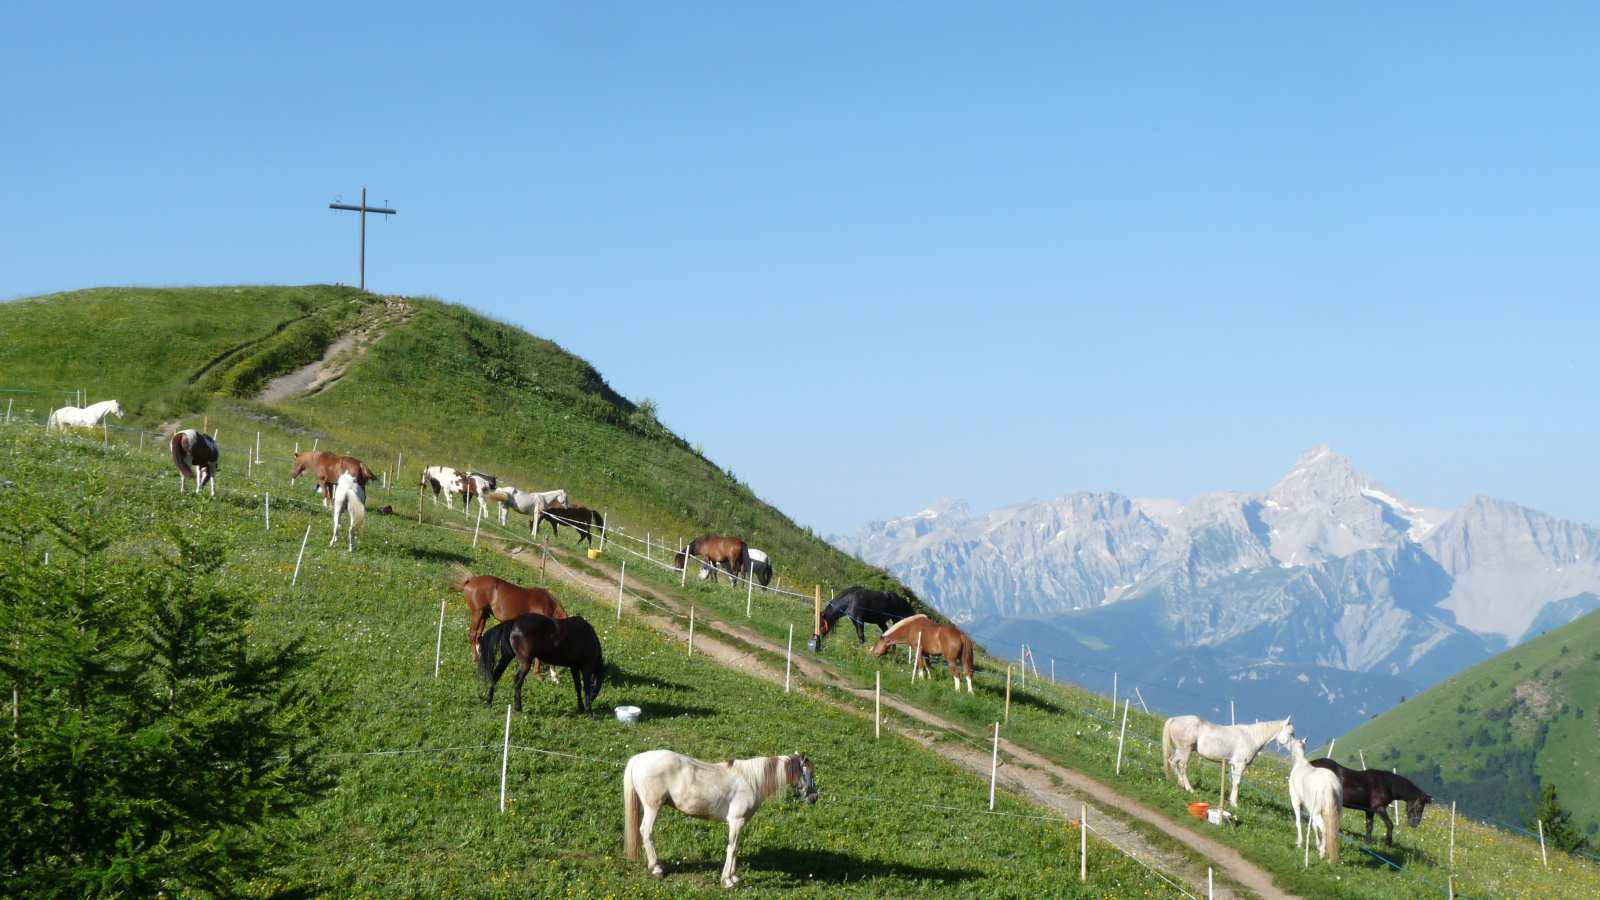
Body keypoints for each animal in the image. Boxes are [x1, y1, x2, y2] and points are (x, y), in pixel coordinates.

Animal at [473, 611, 604, 711]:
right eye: (600, 683)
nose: (594, 698)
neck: (588, 636)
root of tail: (514, 621)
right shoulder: (587, 666)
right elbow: (585, 686)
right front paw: (589, 711)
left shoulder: (574, 667)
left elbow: (578, 686)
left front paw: (581, 707)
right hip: (526, 661)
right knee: (518, 681)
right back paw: (518, 708)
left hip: (507, 656)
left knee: (496, 674)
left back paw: (489, 702)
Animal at [624, 743, 819, 883]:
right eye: (809, 774)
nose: (814, 797)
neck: (752, 781)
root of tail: (639, 757)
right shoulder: (736, 821)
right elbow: (732, 848)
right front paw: (727, 880)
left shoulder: (740, 823)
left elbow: (736, 848)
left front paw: (733, 876)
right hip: (653, 807)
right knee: (646, 832)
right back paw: (656, 869)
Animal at [1164, 714, 1299, 807]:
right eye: (1291, 733)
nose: (1296, 746)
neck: (1251, 738)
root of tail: (1175, 719)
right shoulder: (1241, 765)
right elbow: (1238, 783)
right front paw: (1235, 804)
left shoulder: (1234, 765)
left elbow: (1234, 782)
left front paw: (1231, 800)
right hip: (1185, 751)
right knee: (1183, 767)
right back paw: (1189, 788)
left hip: (1180, 751)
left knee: (1172, 762)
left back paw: (1181, 784)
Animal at [1280, 736, 1344, 864]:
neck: (1301, 764)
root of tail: (1328, 784)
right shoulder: (1311, 809)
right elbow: (1313, 825)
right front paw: (1317, 845)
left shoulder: (1296, 801)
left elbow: (1299, 821)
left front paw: (1300, 844)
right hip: (1333, 812)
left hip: (1317, 812)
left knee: (1324, 828)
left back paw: (1323, 853)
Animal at [1305, 752, 1433, 845]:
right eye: (1420, 806)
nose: (1415, 824)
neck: (1387, 784)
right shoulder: (1379, 808)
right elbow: (1390, 824)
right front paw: (1388, 842)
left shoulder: (1369, 810)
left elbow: (1369, 826)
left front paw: (1368, 843)